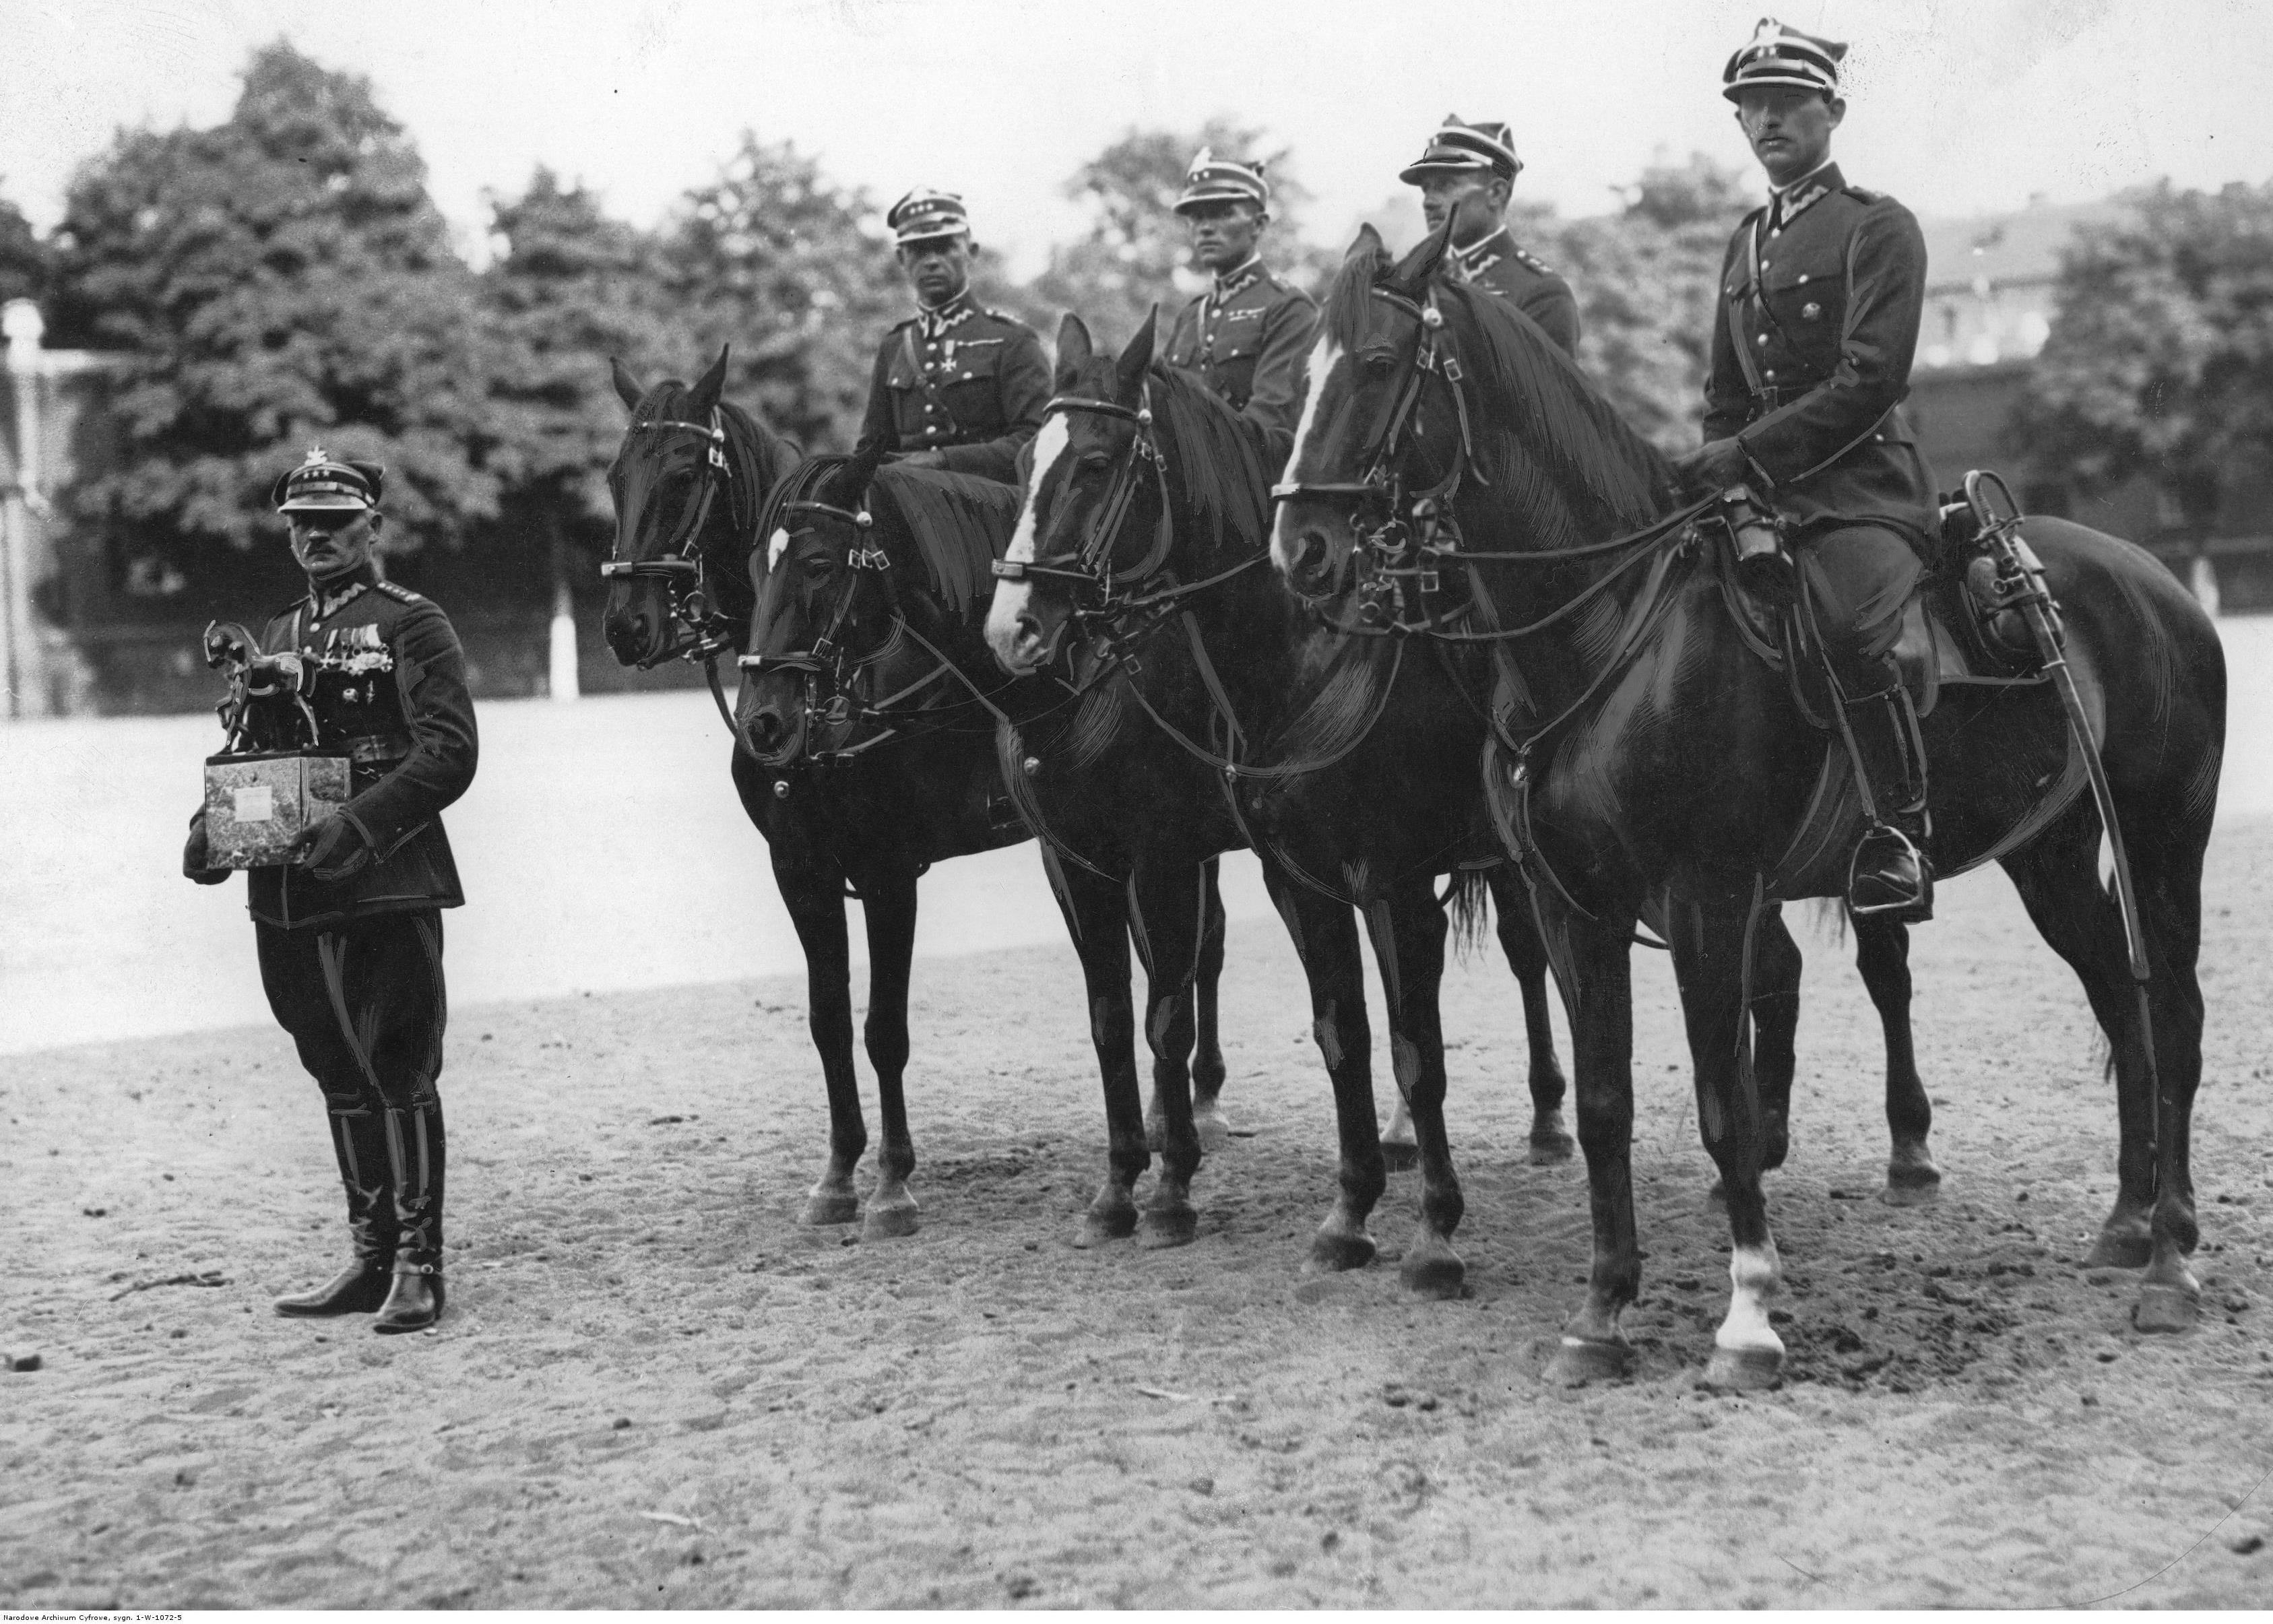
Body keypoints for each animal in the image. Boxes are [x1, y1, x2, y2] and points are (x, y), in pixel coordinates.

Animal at [732, 441, 1235, 1240]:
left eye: (816, 563)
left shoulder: (887, 873)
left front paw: (891, 1187)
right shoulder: (802, 870)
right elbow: (827, 1019)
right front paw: (838, 1176)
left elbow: (884, 1028)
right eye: (755, 566)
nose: (764, 722)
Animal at [1272, 223, 2226, 1385]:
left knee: (2172, 1016)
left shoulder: (1707, 896)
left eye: (1372, 364)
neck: (1609, 622)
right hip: (2048, 853)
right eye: (1300, 378)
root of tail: (2156, 581)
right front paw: (1600, 1311)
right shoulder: (1573, 906)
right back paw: (2127, 1220)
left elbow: (1723, 1105)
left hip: (2163, 835)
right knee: (2121, 1008)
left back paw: (2171, 1262)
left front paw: (1747, 1316)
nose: (1299, 550)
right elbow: (1604, 1102)